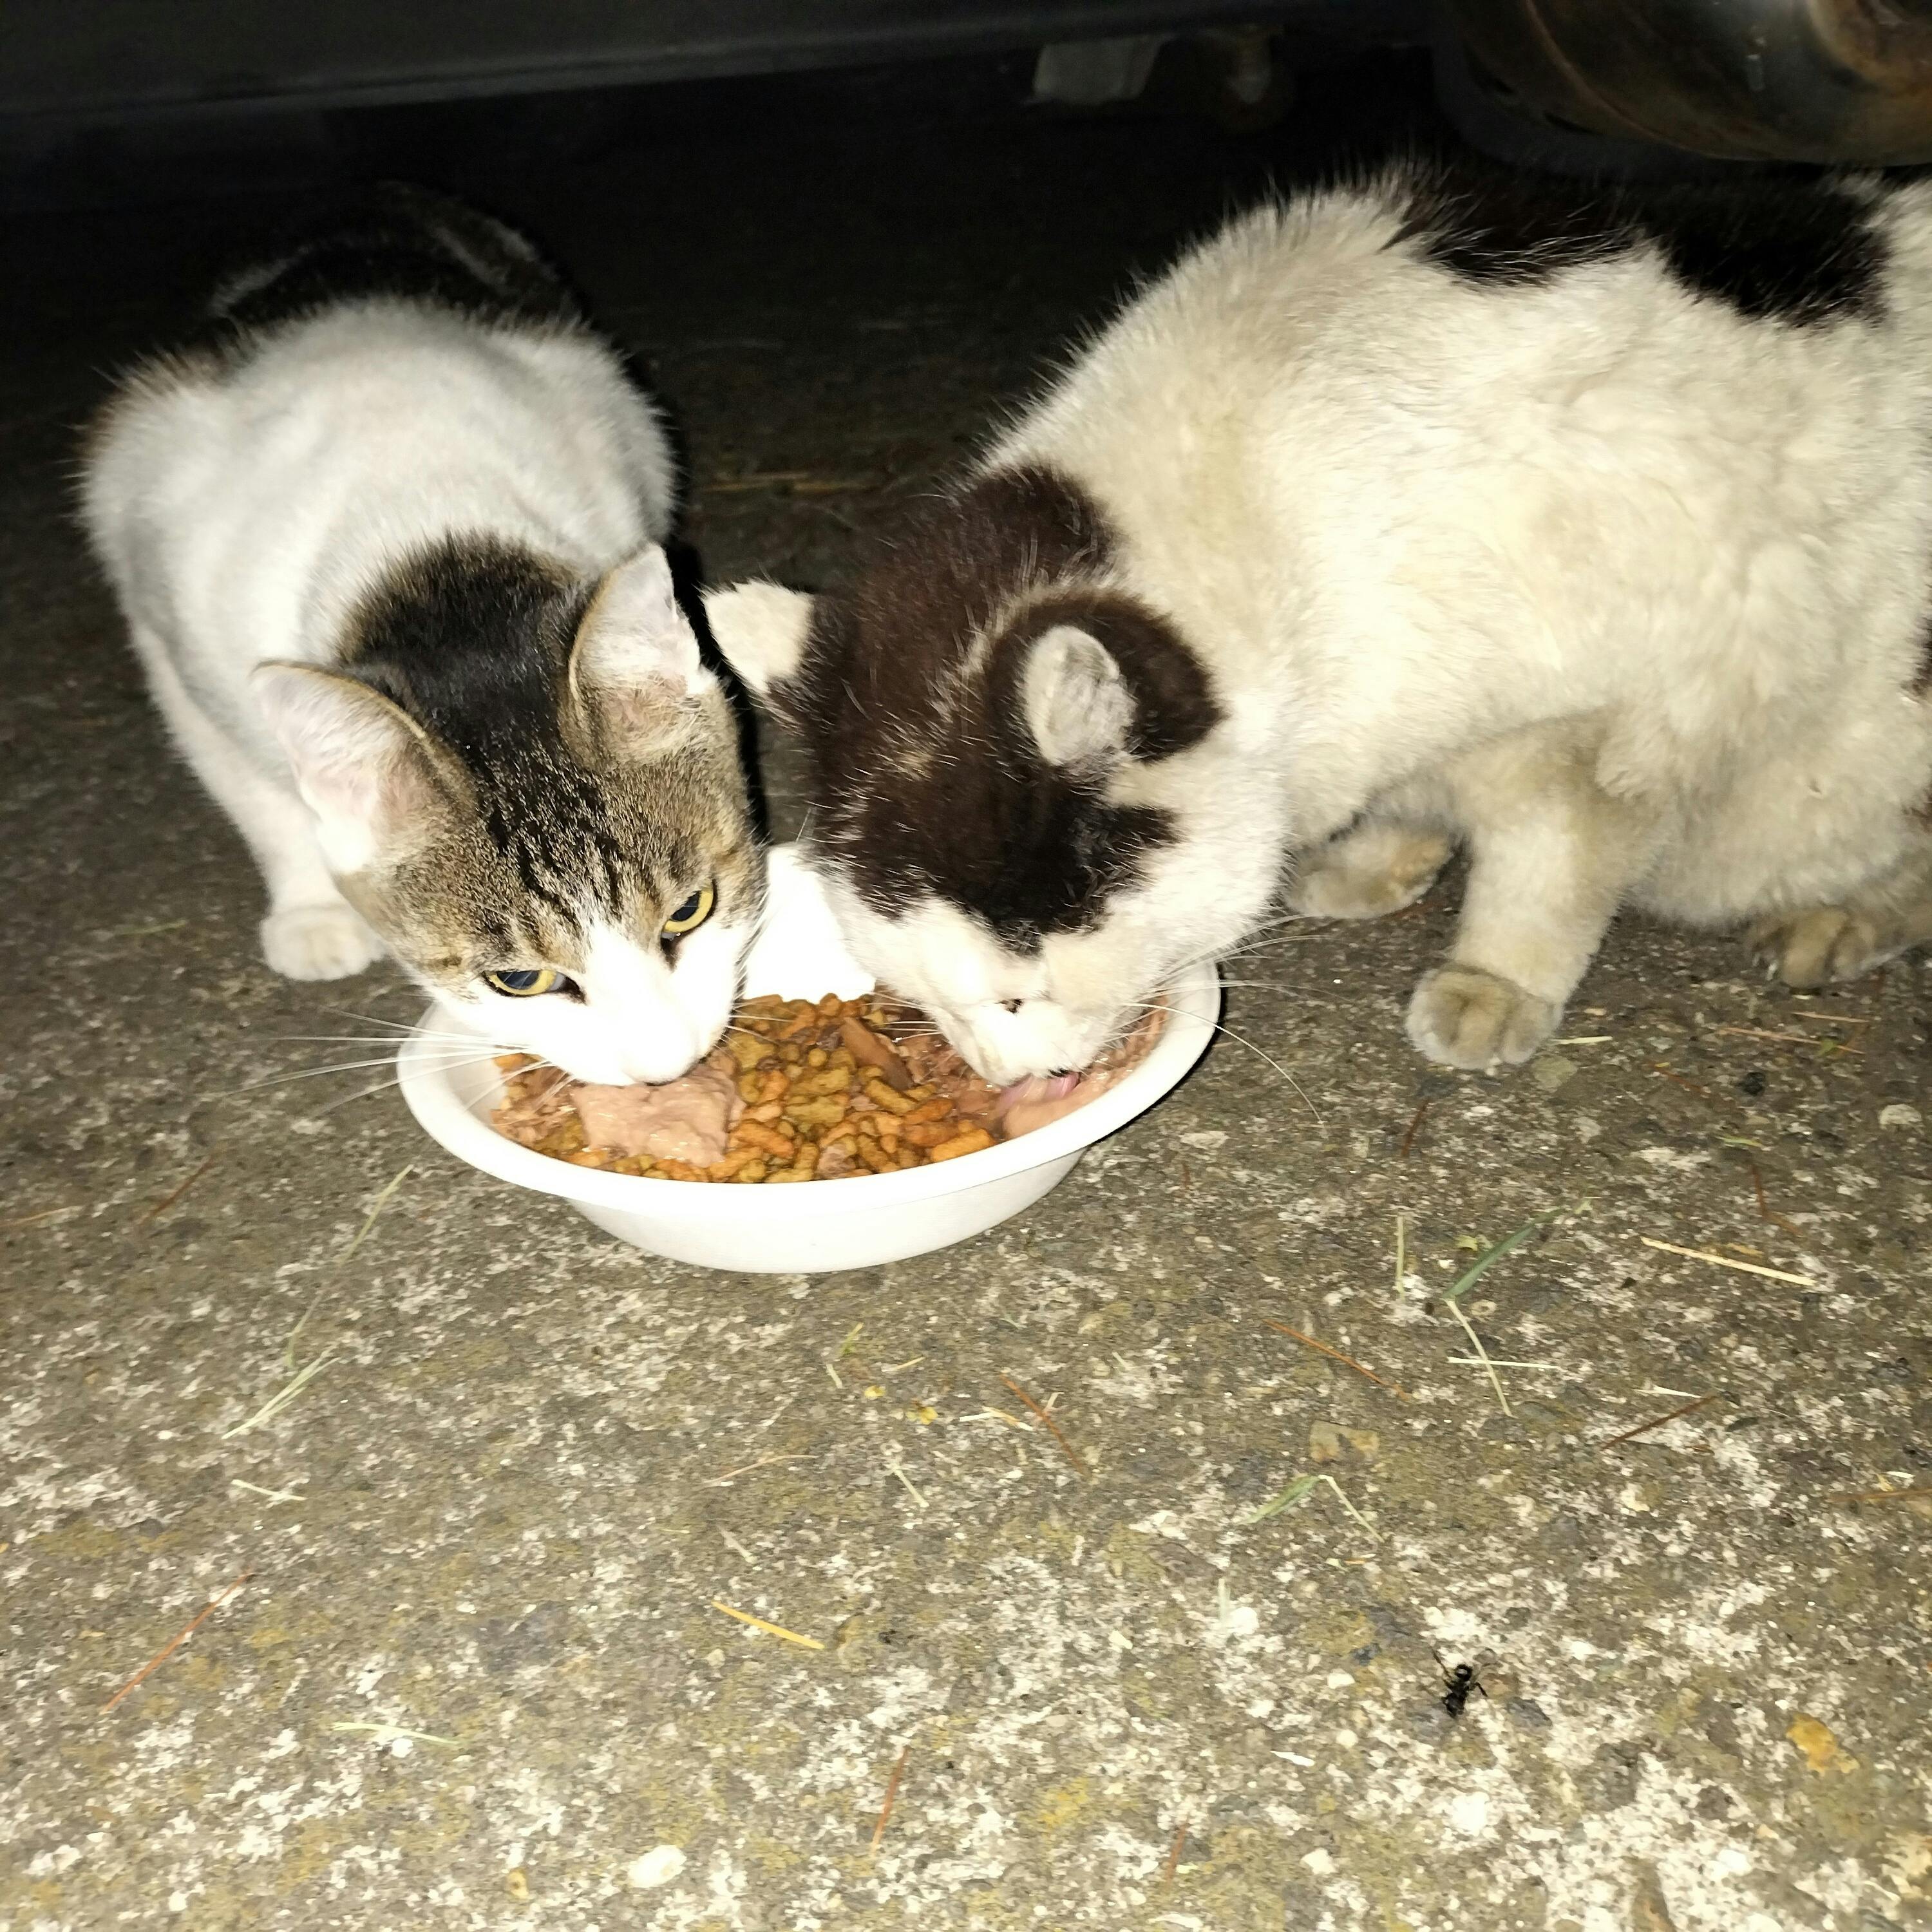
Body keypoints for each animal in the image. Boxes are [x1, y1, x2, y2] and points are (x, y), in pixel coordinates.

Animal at [82, 185, 759, 1087]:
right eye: (521, 982)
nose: (666, 1068)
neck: (432, 560)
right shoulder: (172, 636)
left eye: (690, 910)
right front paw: (310, 908)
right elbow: (258, 794)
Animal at [703, 160, 1932, 1084]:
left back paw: (1837, 921)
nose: (1014, 1081)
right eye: (926, 997)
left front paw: (1493, 984)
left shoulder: (1598, 721)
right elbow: (1414, 803)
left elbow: (1546, 870)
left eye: (1020, 994)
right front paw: (1378, 863)